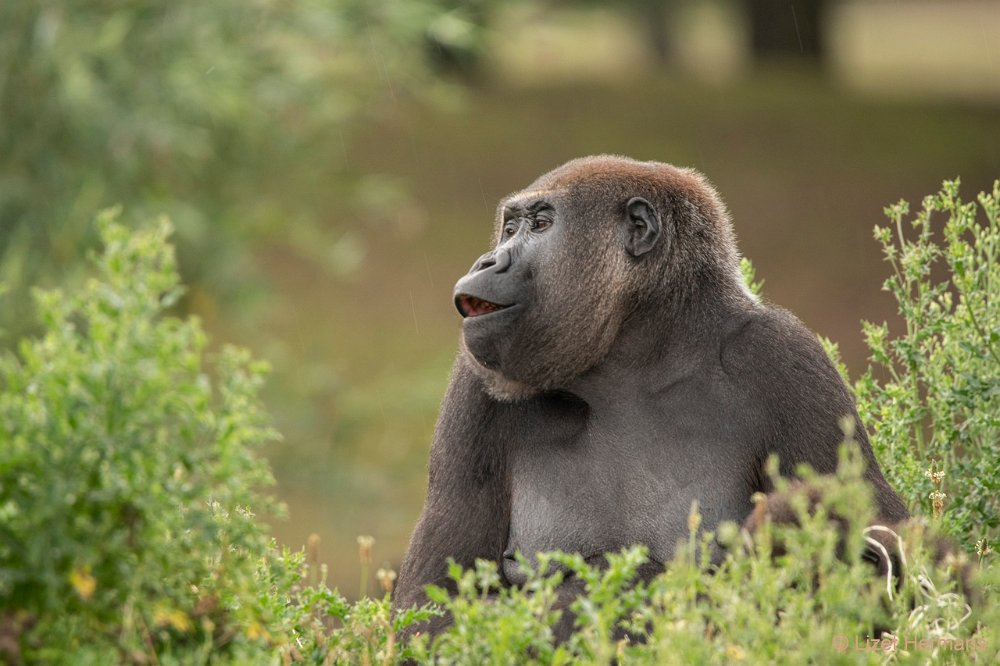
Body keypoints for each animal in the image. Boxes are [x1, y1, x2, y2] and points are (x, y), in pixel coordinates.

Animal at [390, 154, 908, 640]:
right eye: (508, 229)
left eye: (539, 225)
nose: (488, 262)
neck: (633, 361)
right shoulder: (475, 385)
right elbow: (430, 605)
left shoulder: (785, 357)